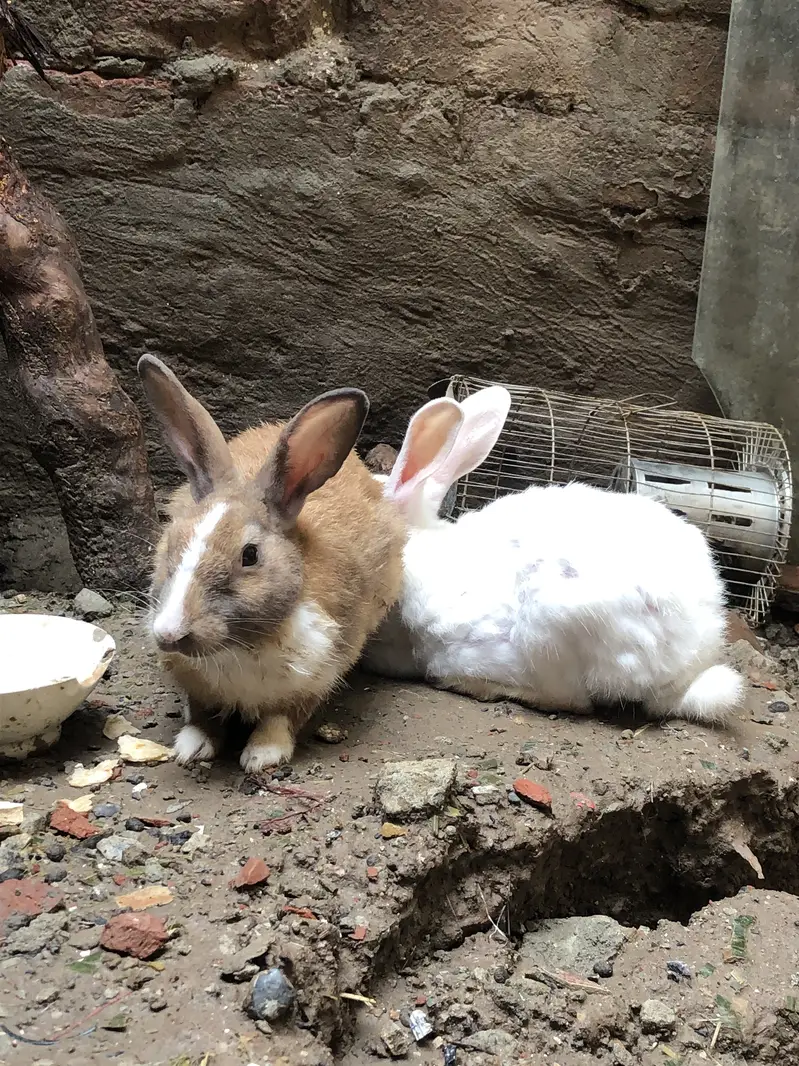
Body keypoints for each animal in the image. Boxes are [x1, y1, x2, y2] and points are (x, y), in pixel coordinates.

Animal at [137, 355, 406, 772]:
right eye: (172, 540)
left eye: (250, 555)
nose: (169, 635)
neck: (240, 647)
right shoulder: (196, 688)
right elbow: (202, 714)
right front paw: (191, 748)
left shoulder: (314, 678)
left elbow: (280, 719)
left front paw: (261, 756)